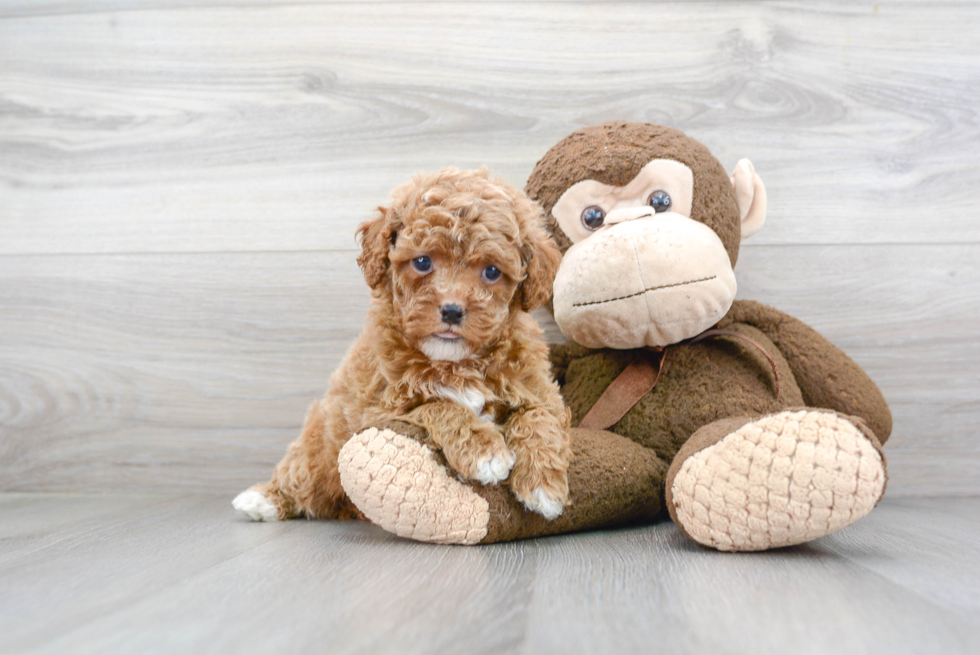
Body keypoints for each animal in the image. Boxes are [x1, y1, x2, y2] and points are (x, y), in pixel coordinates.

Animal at [234, 168, 572, 524]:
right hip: (319, 451)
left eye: (492, 271)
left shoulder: (537, 389)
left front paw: (543, 486)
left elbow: (538, 418)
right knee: (299, 476)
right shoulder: (377, 410)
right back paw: (262, 499)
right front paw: (485, 452)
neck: (456, 362)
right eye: (422, 262)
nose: (452, 311)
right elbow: (439, 406)